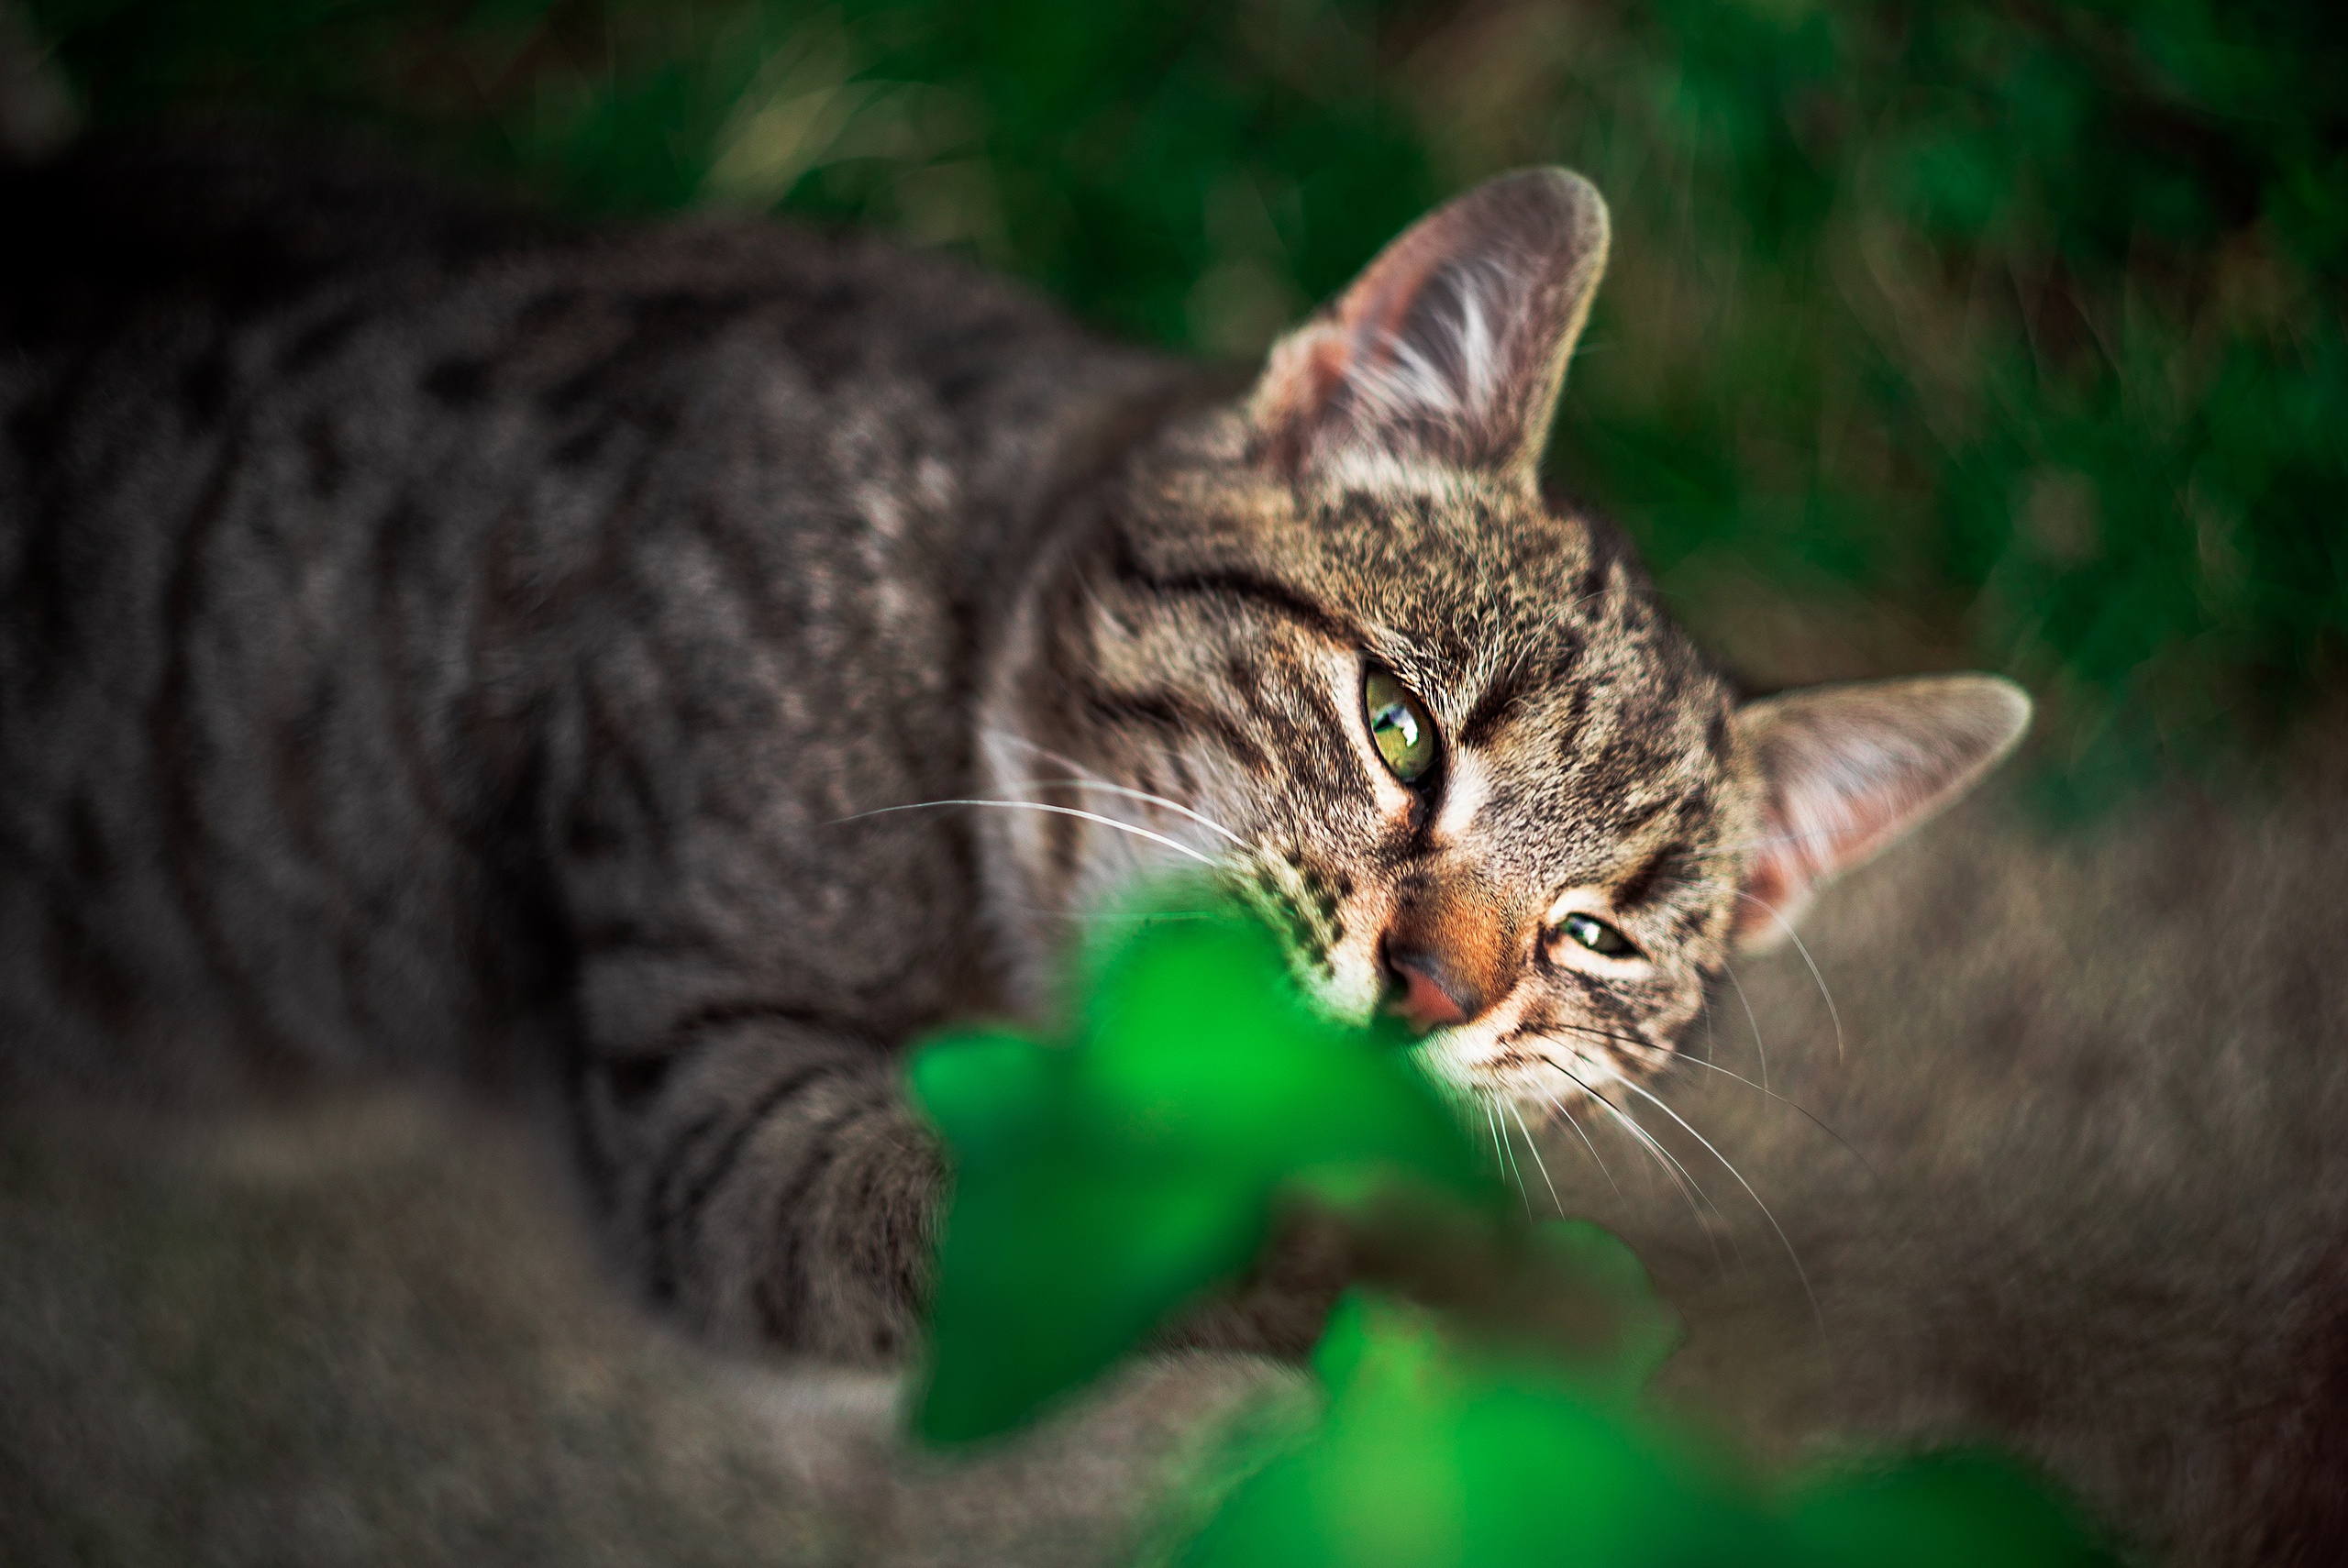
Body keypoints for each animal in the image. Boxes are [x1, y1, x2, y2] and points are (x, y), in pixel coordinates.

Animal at [0, 138, 2019, 1370]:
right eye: (1397, 728)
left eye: (1594, 936)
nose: (1438, 993)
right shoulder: (731, 1100)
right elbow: (1094, 1218)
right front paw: (1473, 1283)